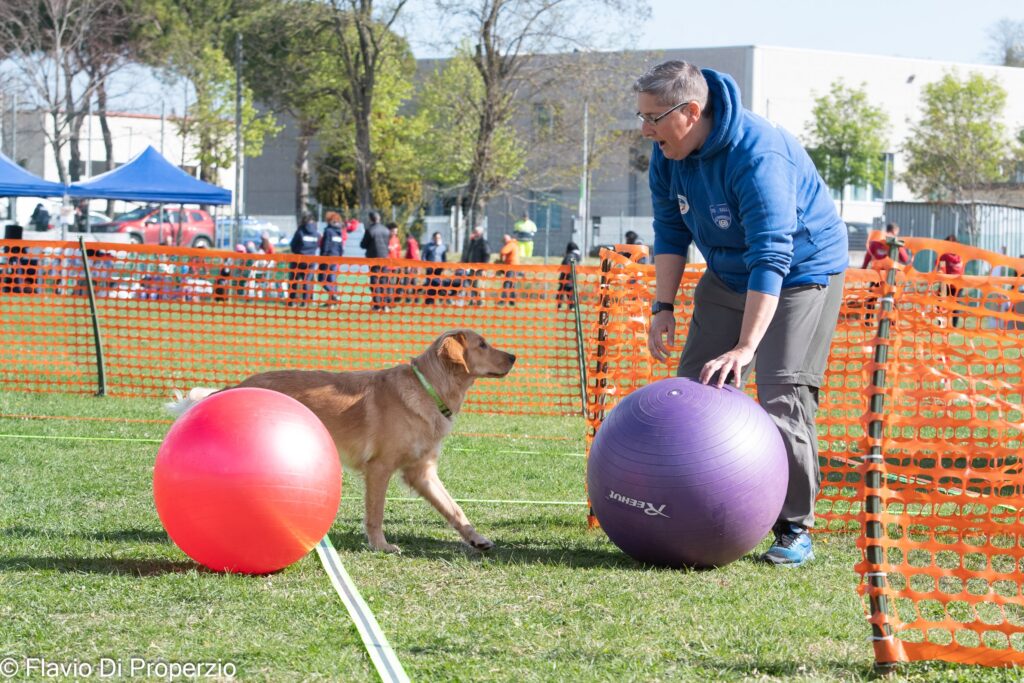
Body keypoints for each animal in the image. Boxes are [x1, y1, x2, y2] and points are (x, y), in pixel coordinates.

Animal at [173, 327, 520, 552]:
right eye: (482, 344)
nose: (514, 356)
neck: (428, 387)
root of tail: (237, 385)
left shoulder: (421, 472)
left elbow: (454, 509)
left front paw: (476, 538)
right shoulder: (379, 468)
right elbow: (375, 515)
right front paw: (381, 545)